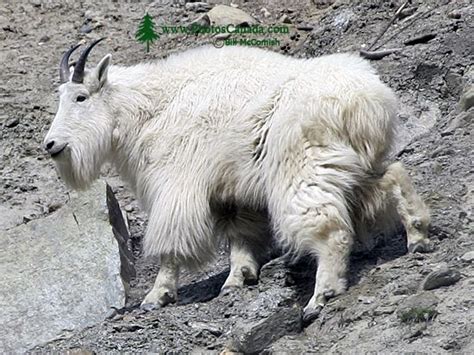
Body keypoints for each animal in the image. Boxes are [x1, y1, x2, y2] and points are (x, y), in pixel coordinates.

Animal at [43, 39, 430, 322]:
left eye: (80, 97)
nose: (51, 145)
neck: (148, 109)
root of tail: (367, 99)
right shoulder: (231, 191)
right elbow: (240, 234)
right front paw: (237, 279)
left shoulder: (177, 183)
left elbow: (170, 244)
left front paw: (156, 296)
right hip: (350, 164)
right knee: (393, 175)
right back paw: (418, 236)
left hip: (302, 167)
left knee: (329, 228)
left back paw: (320, 297)